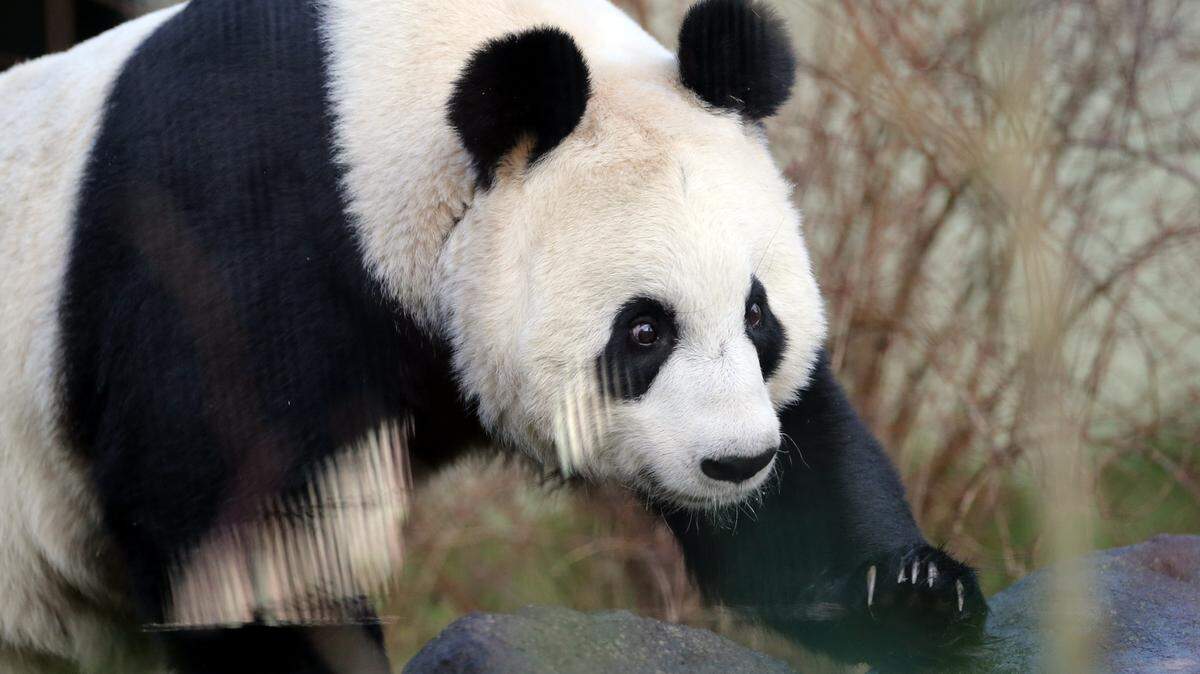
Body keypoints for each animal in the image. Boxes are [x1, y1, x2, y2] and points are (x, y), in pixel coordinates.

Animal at [0, 0, 988, 672]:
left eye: (757, 315)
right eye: (643, 330)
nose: (736, 464)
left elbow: (810, 469)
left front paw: (912, 593)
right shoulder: (227, 241)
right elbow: (240, 535)